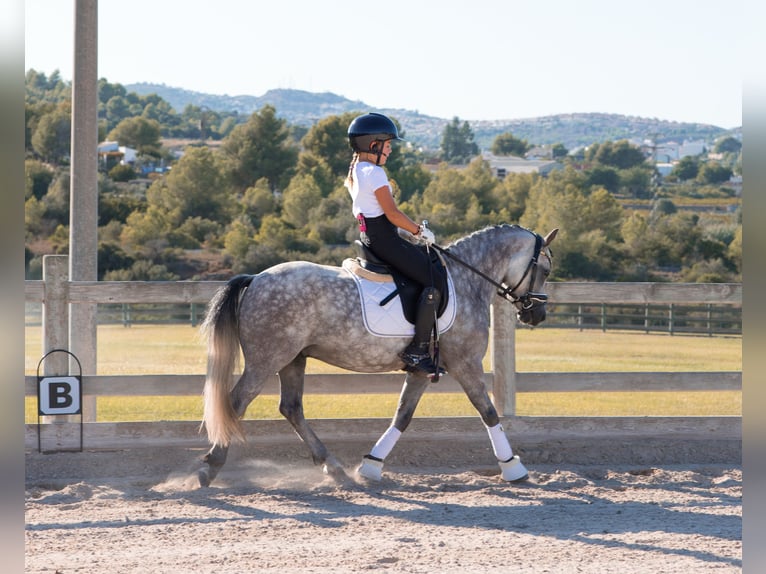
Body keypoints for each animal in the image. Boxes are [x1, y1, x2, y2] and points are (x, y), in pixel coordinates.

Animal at [196, 224, 558, 487]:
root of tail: (256, 278)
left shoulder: (422, 369)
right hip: (267, 359)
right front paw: (514, 468)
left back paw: (334, 468)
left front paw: (370, 467)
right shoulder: (465, 364)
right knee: (237, 402)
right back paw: (209, 468)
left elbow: (403, 416)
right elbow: (489, 412)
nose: (536, 314)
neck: (466, 279)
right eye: (546, 269)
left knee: (291, 408)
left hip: (293, 358)